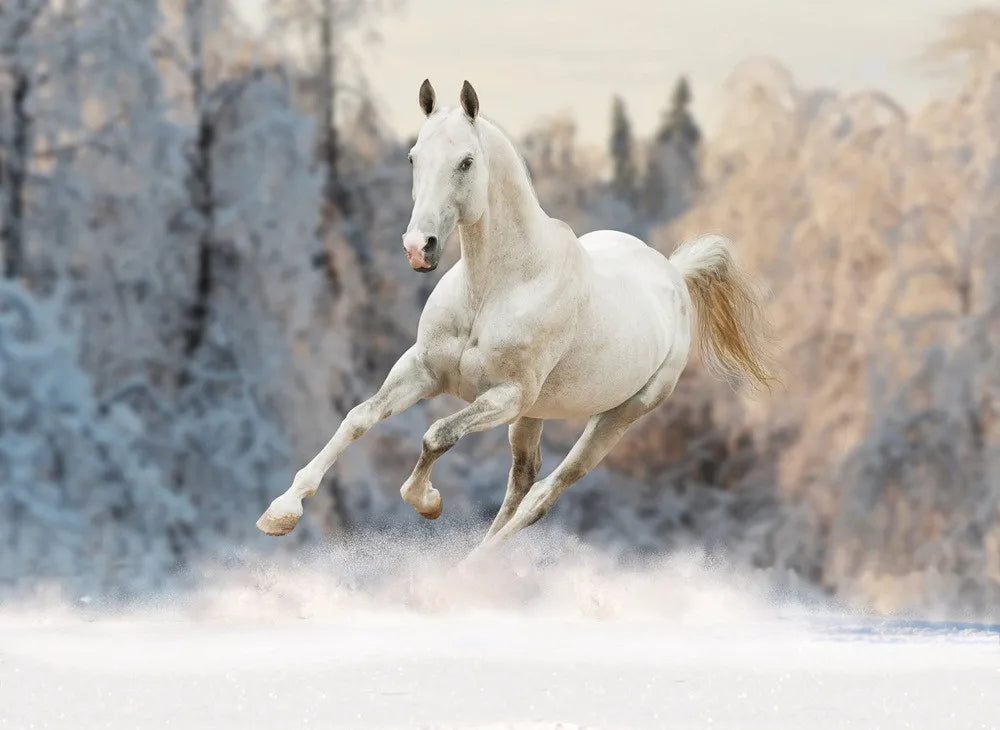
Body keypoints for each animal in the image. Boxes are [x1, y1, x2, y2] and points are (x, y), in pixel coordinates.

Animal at [256, 79, 774, 552]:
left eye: (466, 161)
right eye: (413, 157)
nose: (418, 248)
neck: (494, 290)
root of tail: (673, 274)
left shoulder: (505, 396)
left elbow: (437, 435)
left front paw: (426, 501)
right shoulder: (422, 370)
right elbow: (359, 417)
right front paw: (281, 513)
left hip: (616, 417)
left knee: (543, 495)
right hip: (534, 415)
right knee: (522, 482)